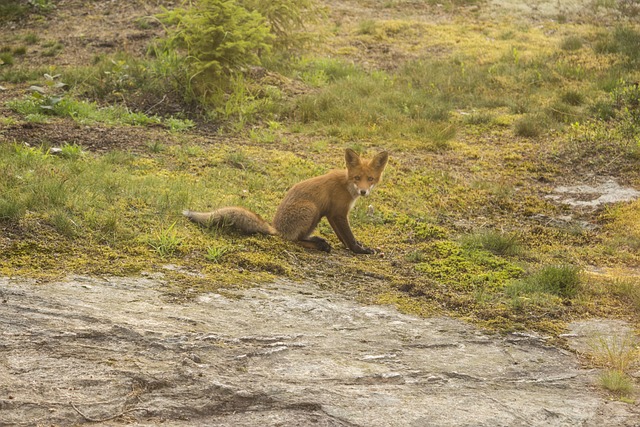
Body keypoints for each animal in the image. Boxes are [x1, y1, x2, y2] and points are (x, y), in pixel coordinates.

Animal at [182, 149, 388, 254]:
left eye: (370, 179)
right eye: (357, 177)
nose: (363, 191)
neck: (346, 185)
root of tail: (276, 227)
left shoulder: (333, 214)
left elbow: (343, 236)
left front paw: (354, 247)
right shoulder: (337, 213)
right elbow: (348, 236)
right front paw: (358, 250)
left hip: (315, 217)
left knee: (299, 237)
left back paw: (317, 241)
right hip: (311, 209)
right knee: (293, 240)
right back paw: (319, 245)